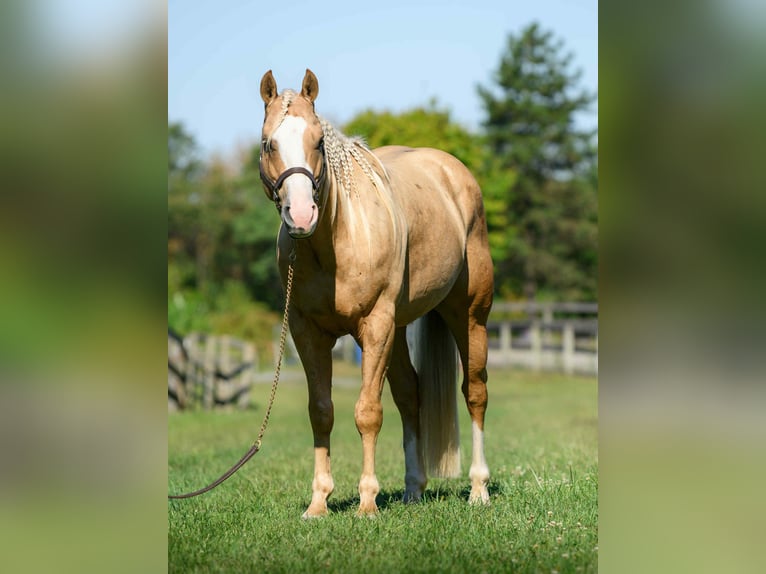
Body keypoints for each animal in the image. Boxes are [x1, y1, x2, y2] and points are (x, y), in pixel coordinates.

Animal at [258, 69, 493, 517]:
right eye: (268, 143)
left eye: (318, 141)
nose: (301, 215)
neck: (337, 239)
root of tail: (453, 172)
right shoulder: (307, 332)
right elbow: (321, 412)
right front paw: (319, 502)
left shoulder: (375, 326)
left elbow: (367, 412)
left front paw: (367, 501)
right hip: (398, 331)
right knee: (410, 394)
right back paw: (413, 489)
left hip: (468, 317)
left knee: (474, 393)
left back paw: (478, 489)